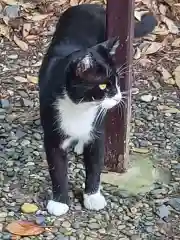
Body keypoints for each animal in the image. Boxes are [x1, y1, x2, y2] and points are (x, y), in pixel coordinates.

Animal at [38, 2, 157, 217]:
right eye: (102, 86)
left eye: (117, 81)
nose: (118, 96)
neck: (79, 108)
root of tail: (91, 5)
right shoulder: (52, 132)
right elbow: (57, 168)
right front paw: (59, 202)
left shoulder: (97, 131)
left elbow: (95, 164)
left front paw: (93, 197)